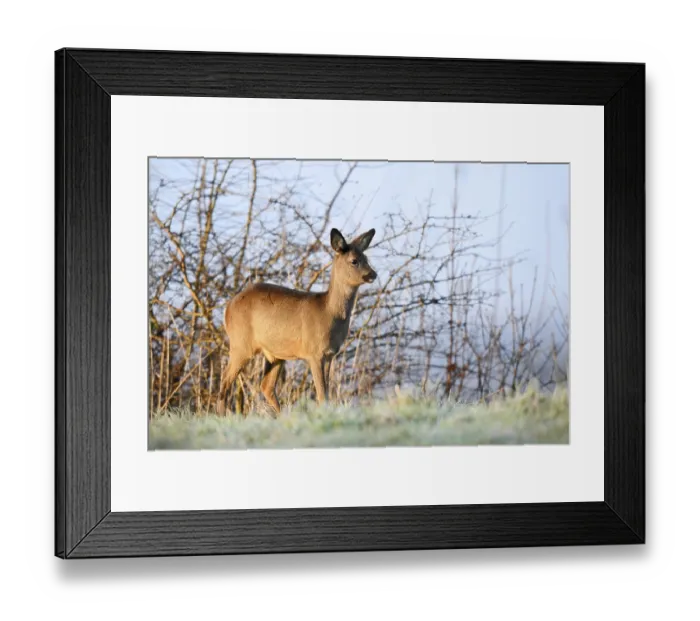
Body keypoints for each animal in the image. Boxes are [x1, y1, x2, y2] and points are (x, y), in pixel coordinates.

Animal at [216, 227, 377, 416]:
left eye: (366, 258)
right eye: (354, 261)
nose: (372, 274)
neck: (328, 313)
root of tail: (227, 308)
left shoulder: (330, 354)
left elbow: (327, 393)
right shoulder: (314, 352)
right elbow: (321, 394)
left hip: (274, 353)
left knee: (266, 386)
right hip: (240, 343)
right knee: (225, 379)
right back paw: (221, 415)